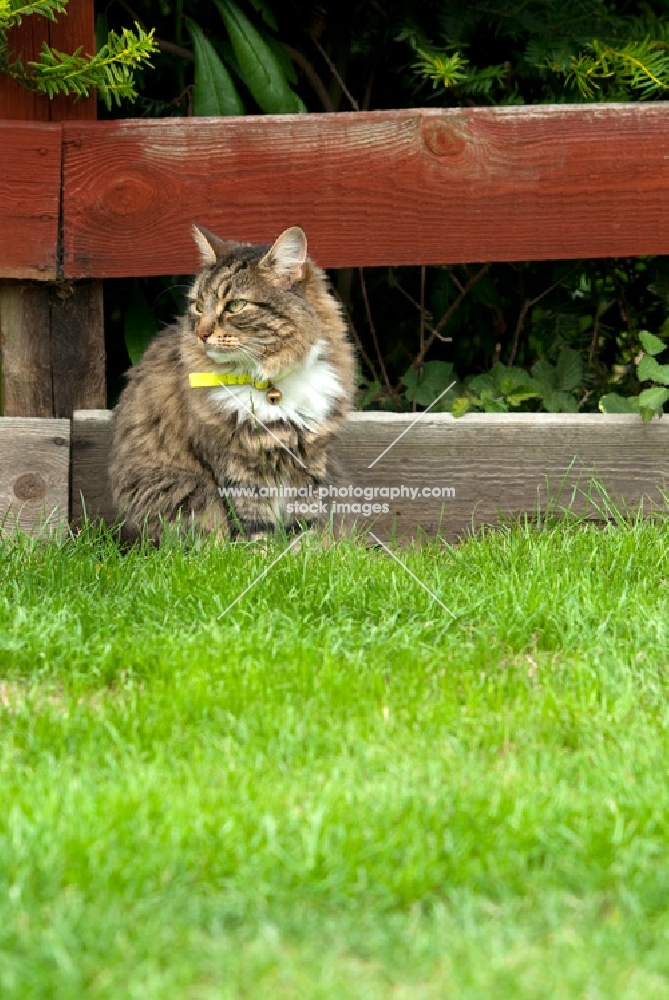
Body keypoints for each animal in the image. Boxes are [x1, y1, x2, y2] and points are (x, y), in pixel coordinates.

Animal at [108, 226, 354, 544]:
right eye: (198, 306)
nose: (201, 333)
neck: (270, 380)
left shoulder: (310, 460)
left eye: (236, 306)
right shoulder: (237, 465)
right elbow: (255, 525)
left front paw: (303, 553)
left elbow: (304, 523)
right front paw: (264, 554)